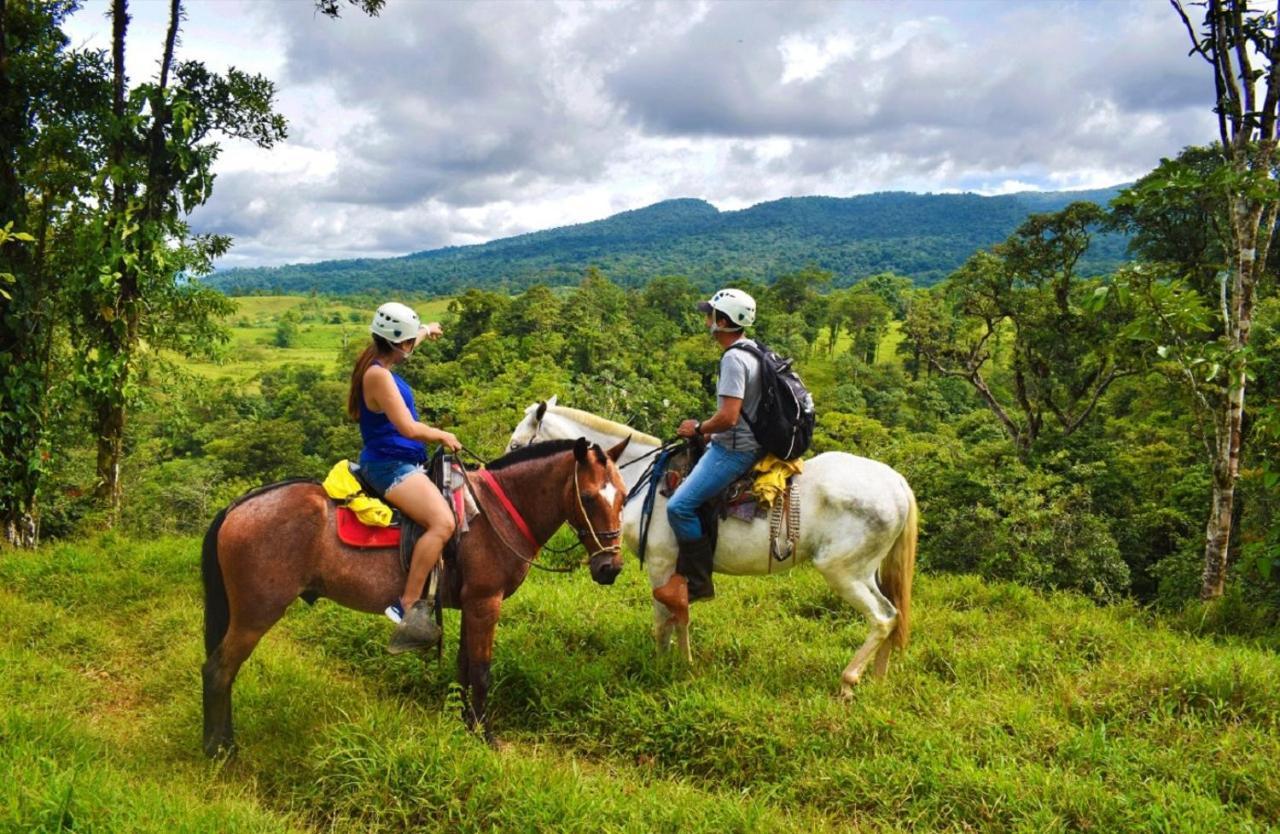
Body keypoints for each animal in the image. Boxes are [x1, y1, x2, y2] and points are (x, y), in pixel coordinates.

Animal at [198, 437, 629, 757]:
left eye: (624, 497)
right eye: (590, 497)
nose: (610, 568)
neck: (497, 513)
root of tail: (238, 507)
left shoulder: (470, 604)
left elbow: (463, 666)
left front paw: (464, 726)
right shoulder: (485, 602)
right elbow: (482, 671)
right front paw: (485, 736)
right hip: (255, 613)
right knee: (219, 671)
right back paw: (221, 749)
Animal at [504, 396, 916, 690]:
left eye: (516, 444)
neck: (639, 478)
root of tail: (896, 482)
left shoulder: (661, 562)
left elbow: (663, 619)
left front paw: (663, 666)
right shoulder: (679, 568)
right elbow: (679, 615)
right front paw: (680, 662)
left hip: (842, 571)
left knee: (882, 617)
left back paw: (848, 683)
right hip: (866, 571)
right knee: (893, 614)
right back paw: (878, 681)